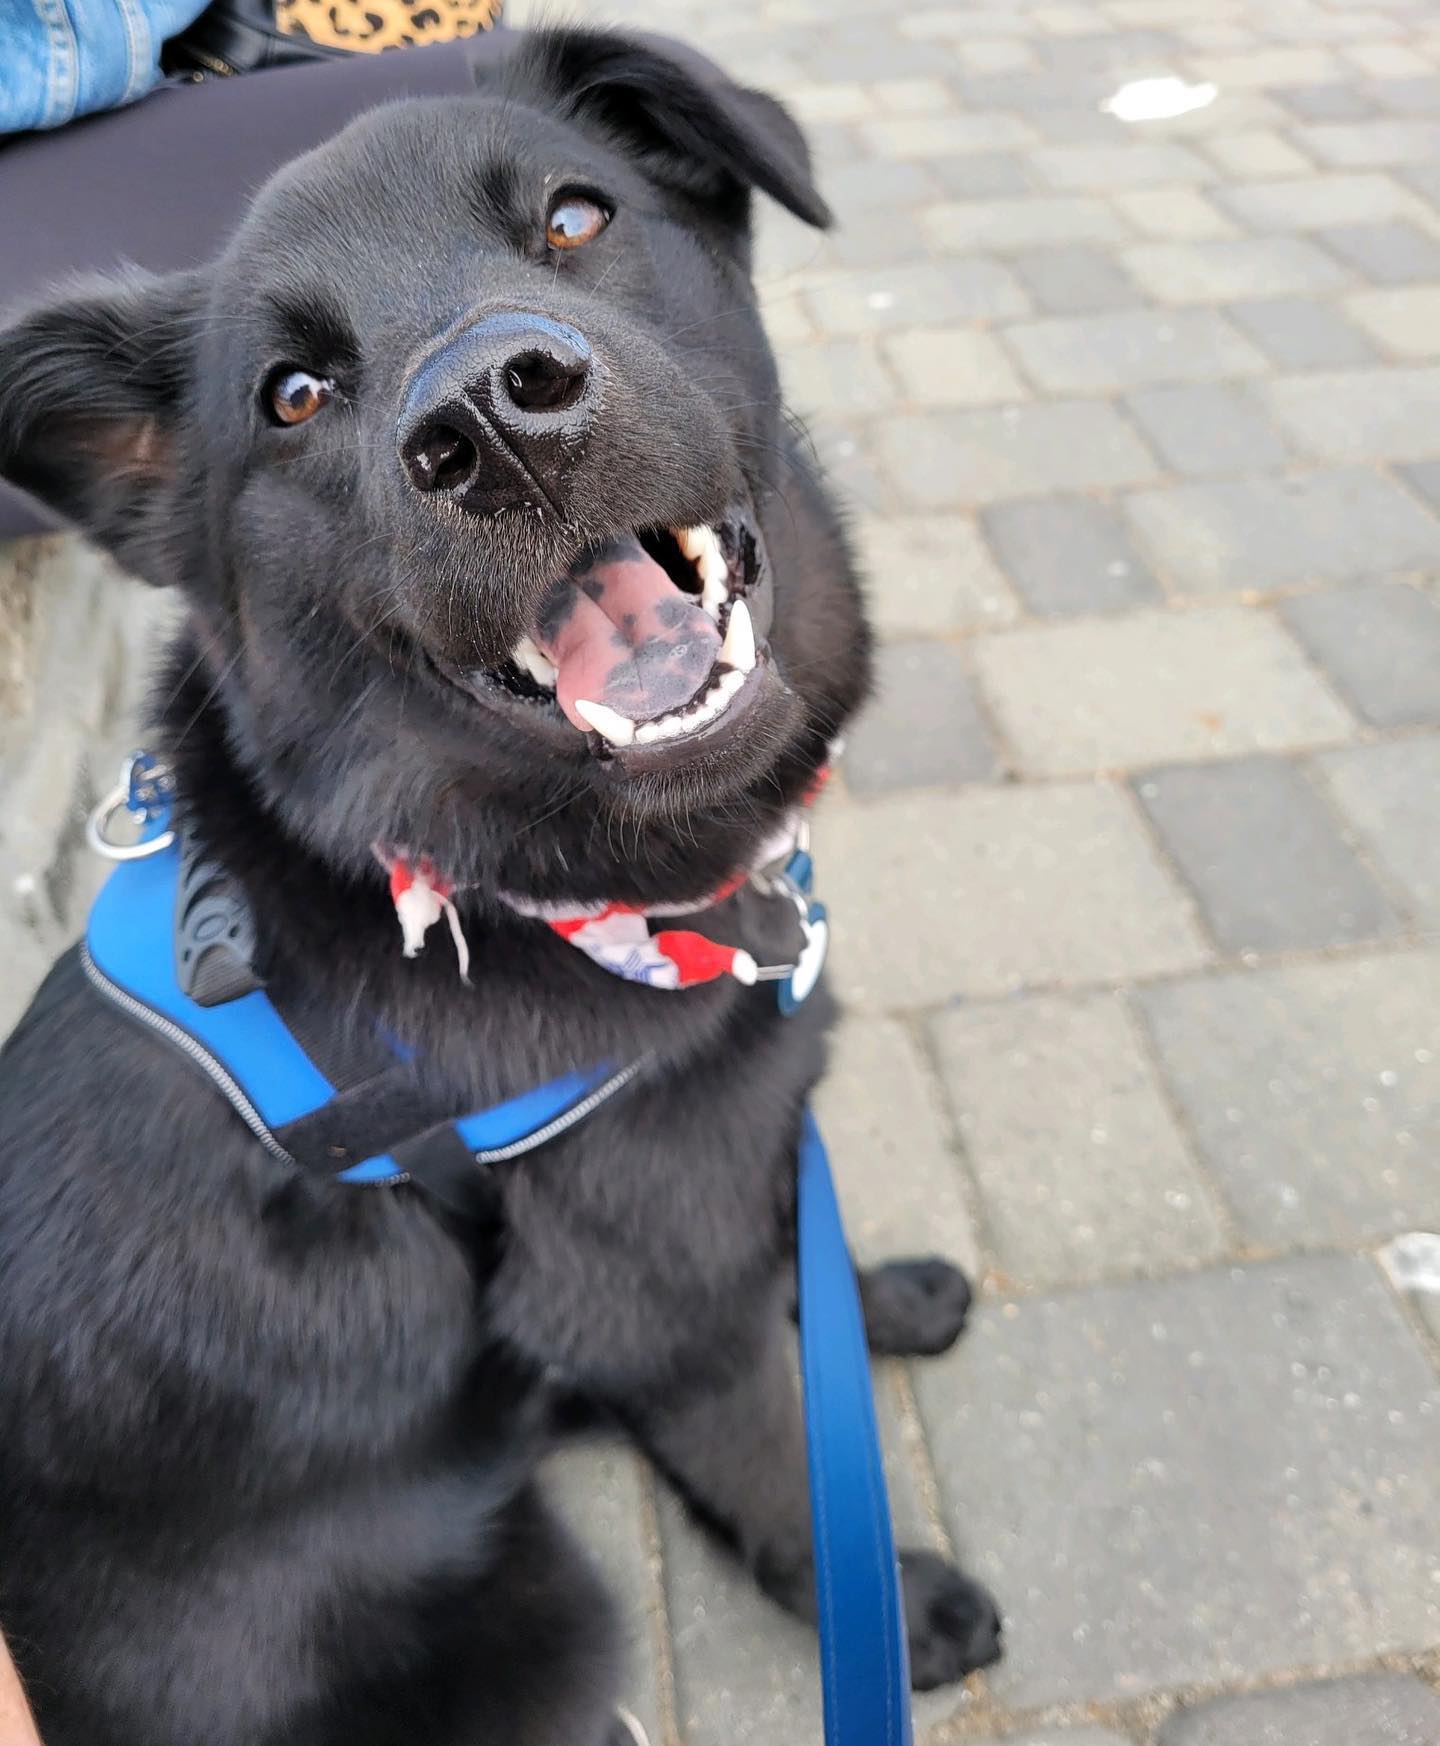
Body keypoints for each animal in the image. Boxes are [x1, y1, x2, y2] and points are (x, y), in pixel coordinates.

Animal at [0, 30, 998, 1746]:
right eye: (293, 394)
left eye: (576, 216)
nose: (491, 416)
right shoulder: (655, 1292)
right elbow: (772, 1450)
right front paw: (895, 1599)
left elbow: (790, 1280)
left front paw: (871, 1296)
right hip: (551, 1628)